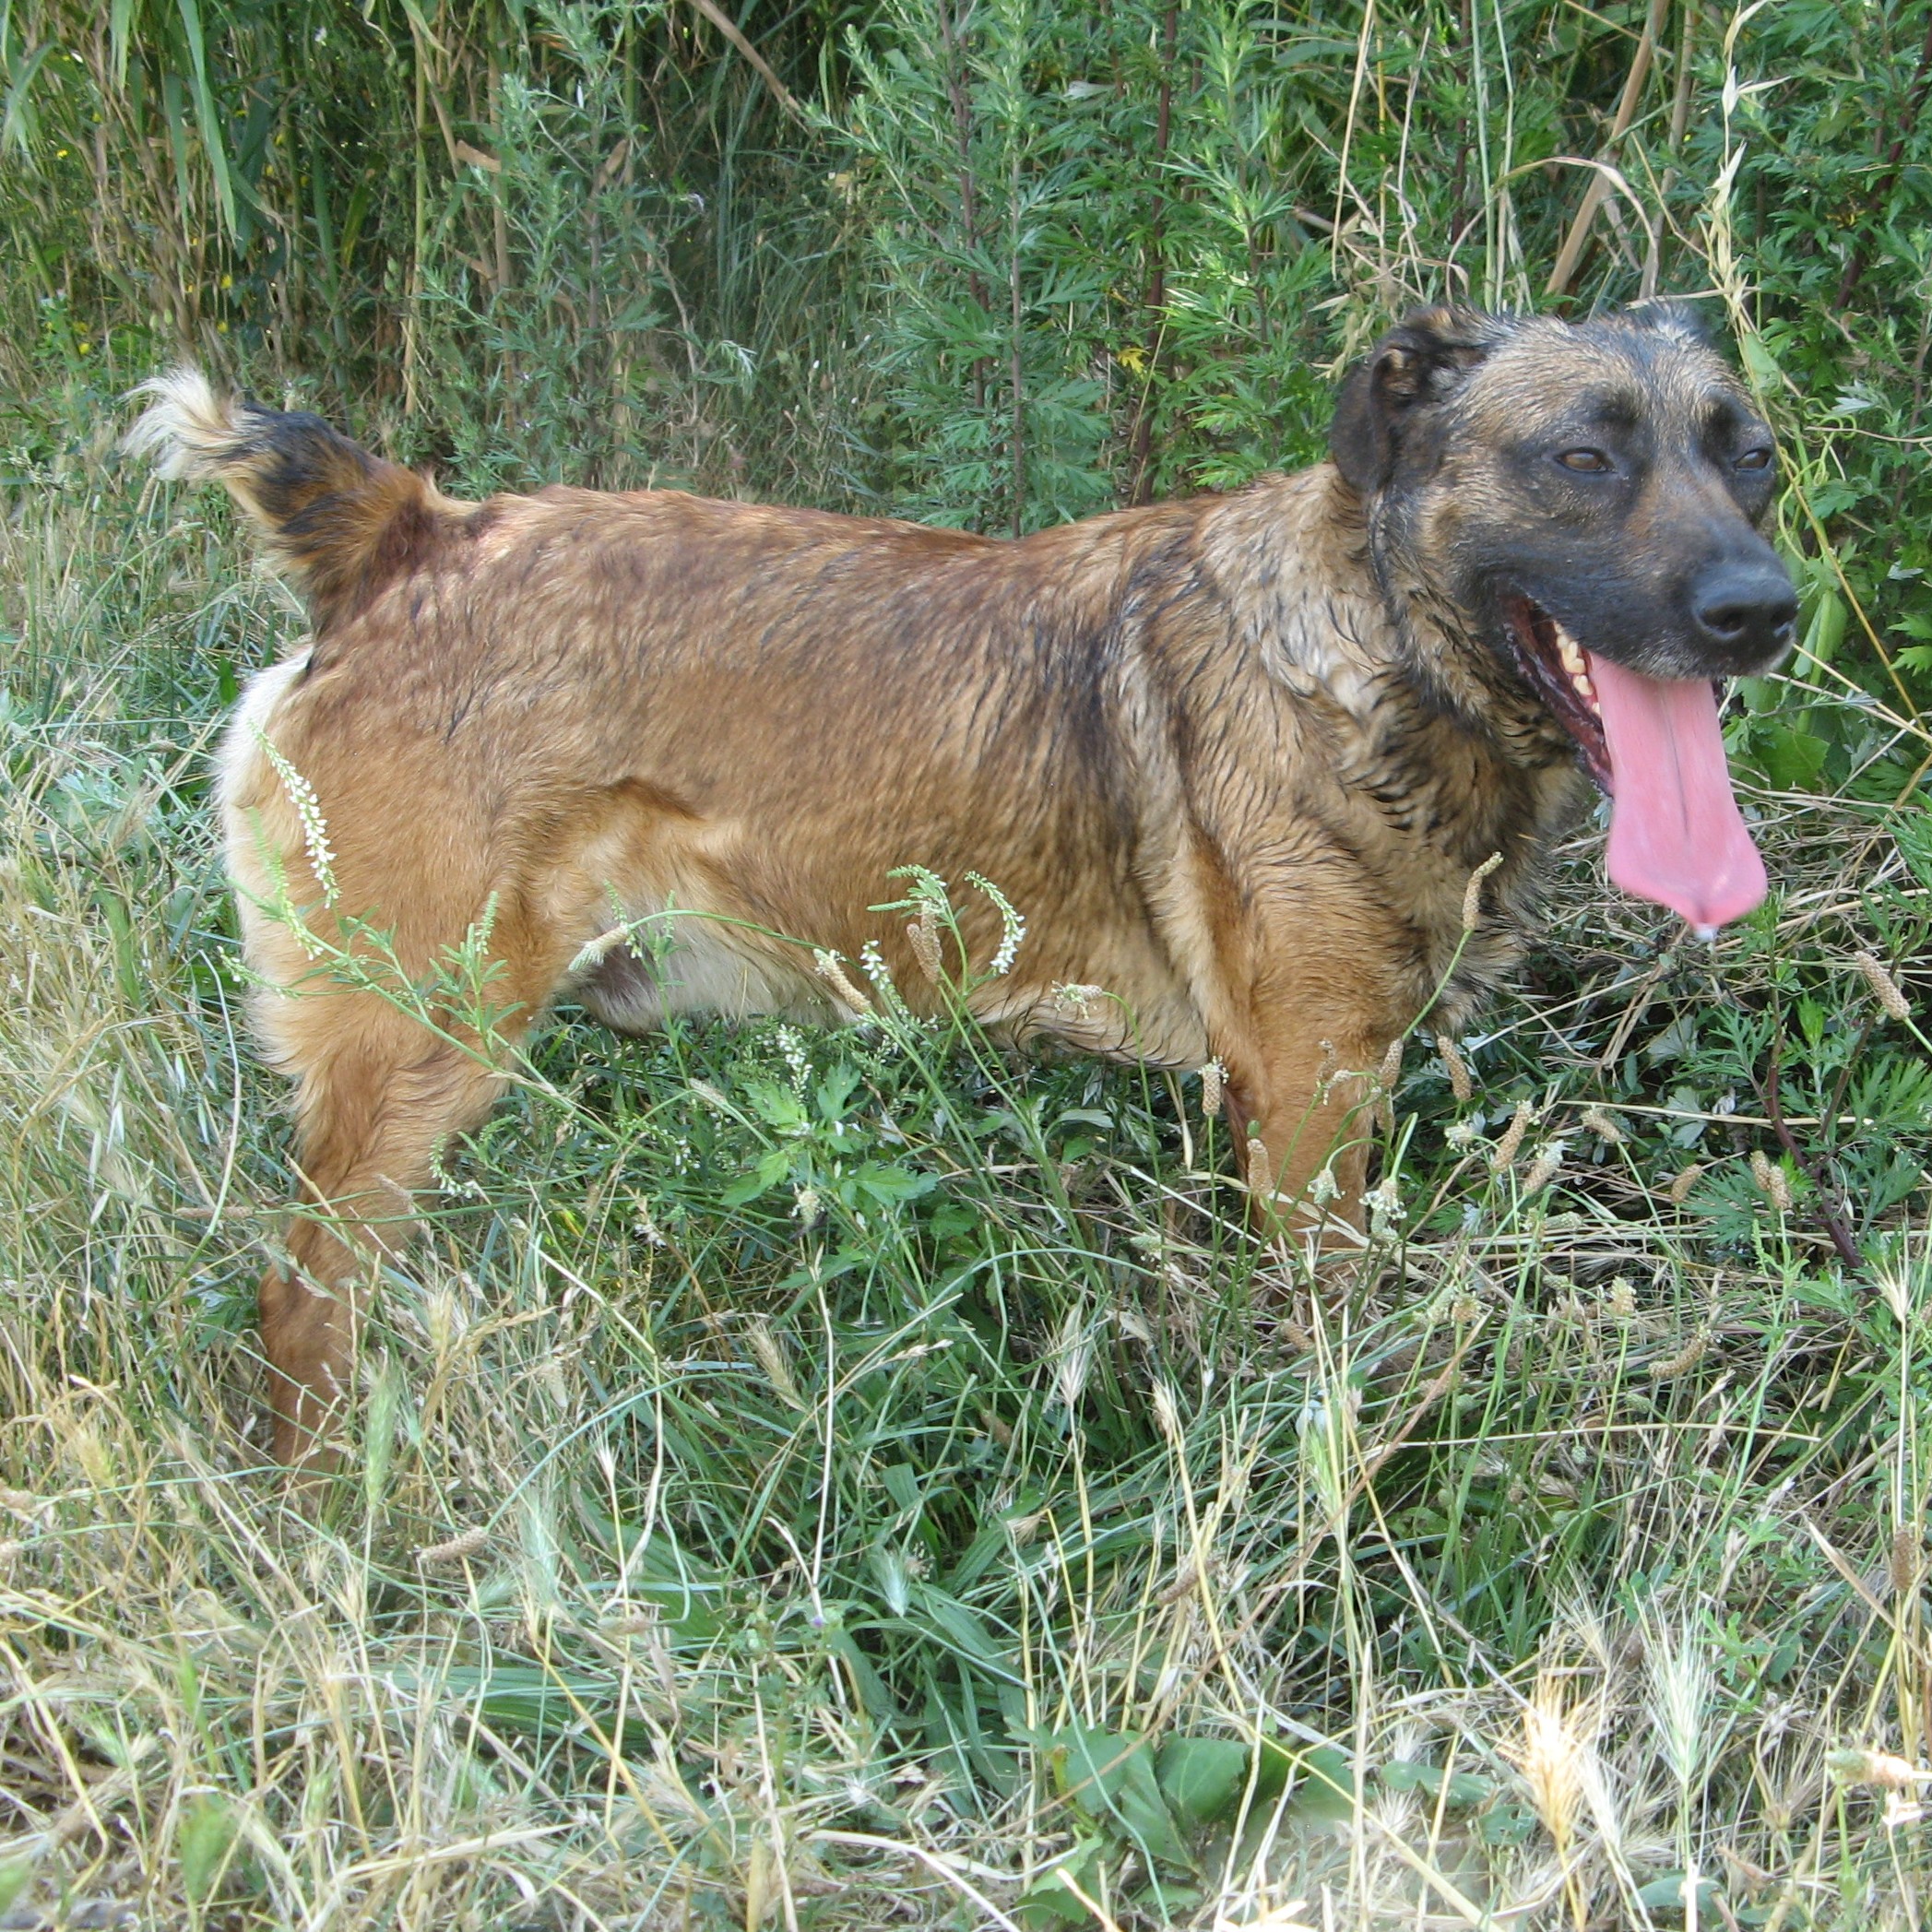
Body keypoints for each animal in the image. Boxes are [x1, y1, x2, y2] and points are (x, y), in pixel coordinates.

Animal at [132, 309, 1793, 1468]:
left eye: (1750, 455)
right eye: (1579, 457)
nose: (1761, 611)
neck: (1377, 646)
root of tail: (405, 527)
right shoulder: (1314, 1102)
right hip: (419, 1050)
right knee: (299, 1304)